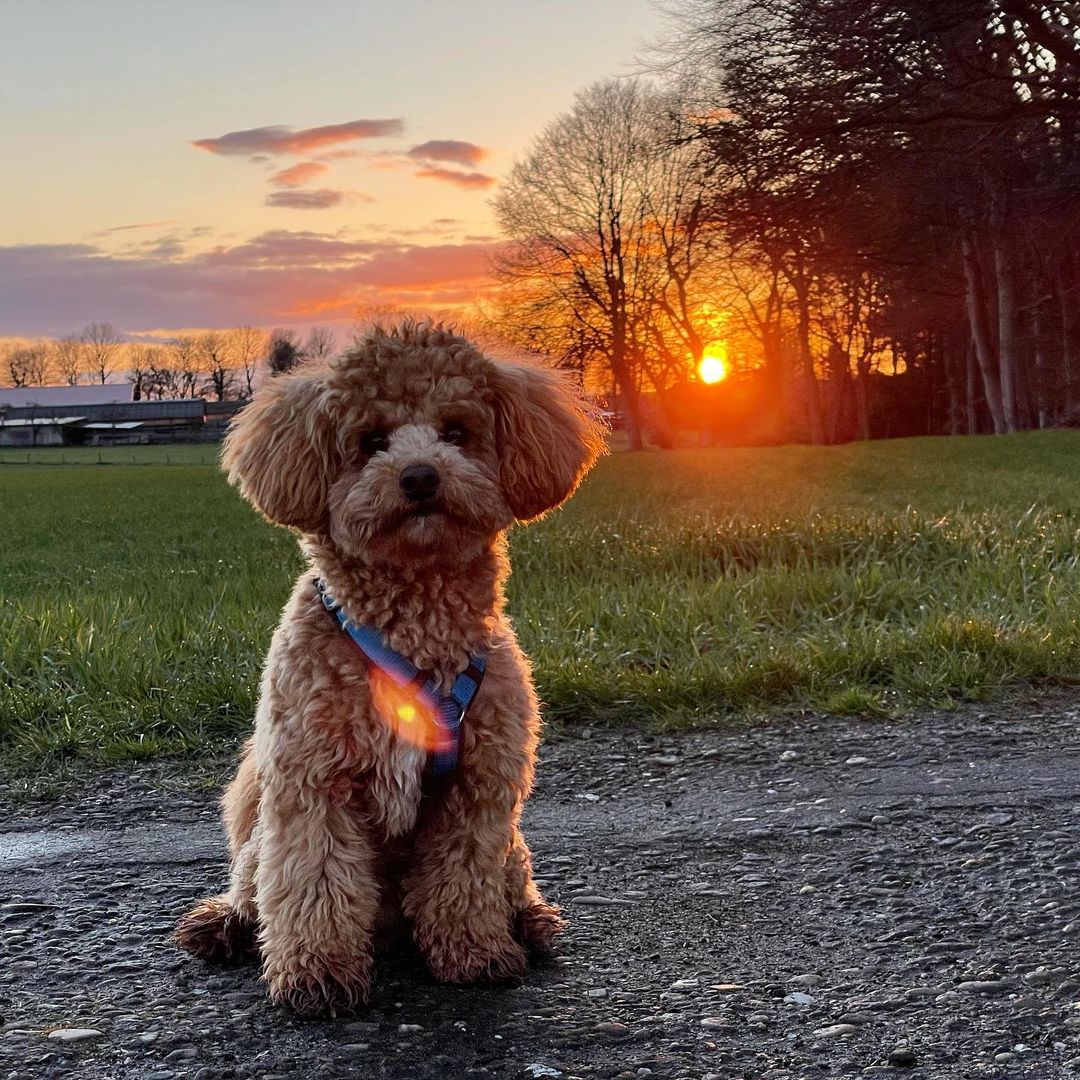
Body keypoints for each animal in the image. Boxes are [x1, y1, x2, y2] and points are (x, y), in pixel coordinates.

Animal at [172, 317, 604, 1010]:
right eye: (371, 440)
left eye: (456, 431)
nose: (421, 476)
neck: (414, 622)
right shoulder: (312, 779)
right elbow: (315, 880)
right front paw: (318, 973)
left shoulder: (479, 787)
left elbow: (463, 878)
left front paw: (475, 953)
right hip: (260, 825)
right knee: (253, 882)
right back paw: (223, 924)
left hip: (513, 844)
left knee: (512, 877)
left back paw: (532, 922)